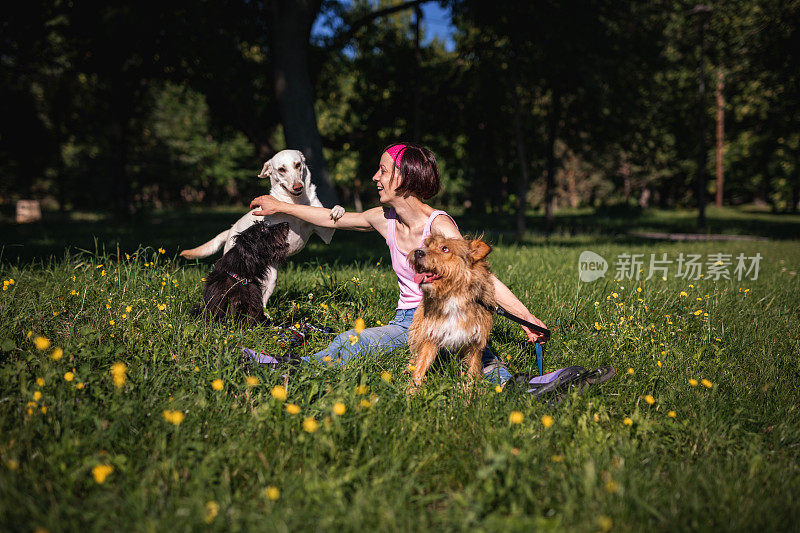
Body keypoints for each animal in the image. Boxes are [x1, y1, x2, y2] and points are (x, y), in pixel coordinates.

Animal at [181, 150, 344, 308]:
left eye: (298, 164)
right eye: (281, 169)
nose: (298, 186)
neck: (296, 202)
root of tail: (230, 231)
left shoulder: (326, 233)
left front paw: (338, 210)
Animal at [406, 235, 494, 392]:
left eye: (445, 248)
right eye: (427, 245)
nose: (418, 252)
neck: (453, 295)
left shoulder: (475, 343)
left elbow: (472, 372)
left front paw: (469, 394)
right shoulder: (431, 335)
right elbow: (421, 365)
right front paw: (412, 391)